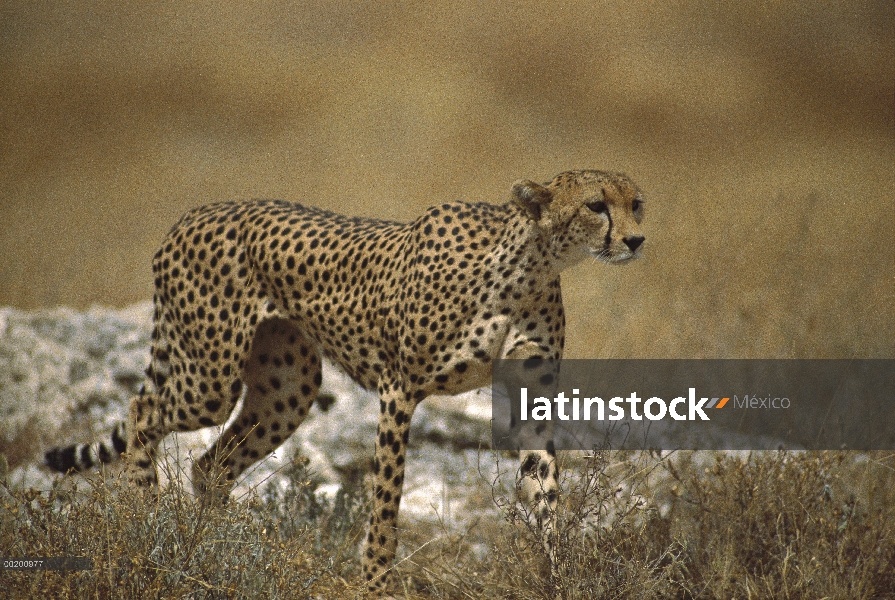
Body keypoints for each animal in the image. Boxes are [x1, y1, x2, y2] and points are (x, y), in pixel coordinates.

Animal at [45, 168, 644, 592]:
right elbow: (386, 500)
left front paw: (561, 575)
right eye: (596, 205)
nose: (637, 240)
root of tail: (195, 213)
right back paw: (147, 520)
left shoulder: (531, 393)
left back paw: (214, 545)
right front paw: (376, 582)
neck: (531, 264)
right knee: (143, 410)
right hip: (211, 378)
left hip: (289, 387)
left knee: (210, 463)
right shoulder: (399, 389)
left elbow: (546, 494)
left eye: (636, 202)